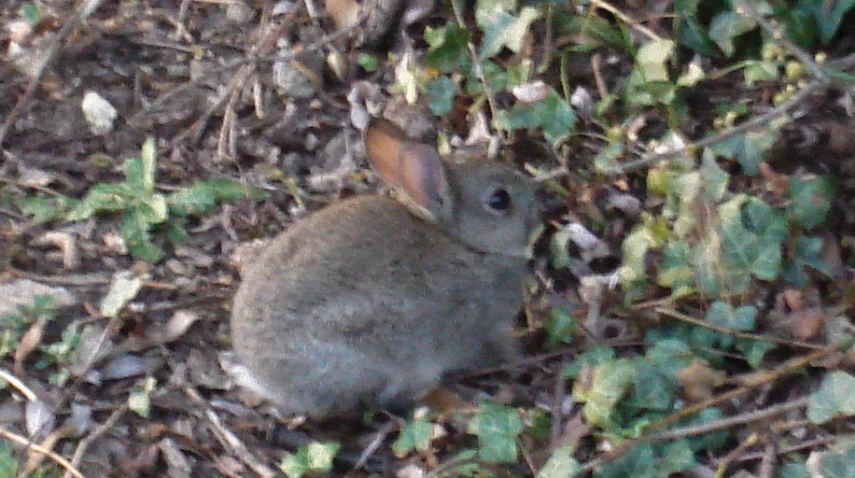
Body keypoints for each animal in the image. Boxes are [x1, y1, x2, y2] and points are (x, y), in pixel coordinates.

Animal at [229, 116, 540, 418]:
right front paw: (519, 357)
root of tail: (266, 378)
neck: (463, 242)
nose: (541, 206)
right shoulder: (480, 329)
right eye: (499, 200)